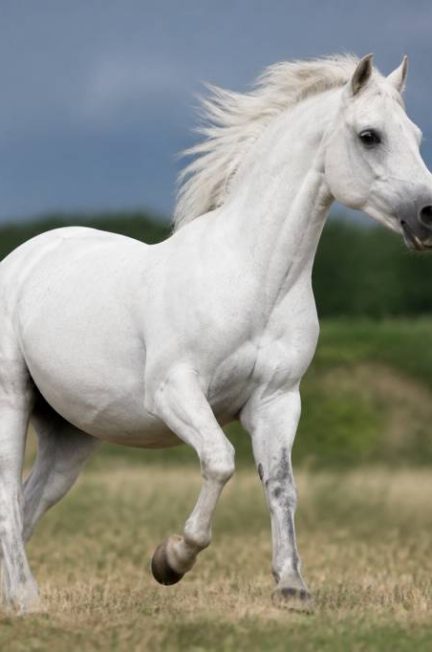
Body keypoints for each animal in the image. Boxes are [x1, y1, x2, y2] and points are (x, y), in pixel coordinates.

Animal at [0, 53, 431, 613]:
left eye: (416, 134)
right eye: (369, 136)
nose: (427, 216)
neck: (252, 278)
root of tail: (24, 257)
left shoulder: (277, 401)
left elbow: (282, 485)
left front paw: (292, 588)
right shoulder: (175, 391)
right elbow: (221, 462)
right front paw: (170, 561)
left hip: (70, 436)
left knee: (32, 498)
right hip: (12, 401)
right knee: (9, 497)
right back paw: (28, 600)